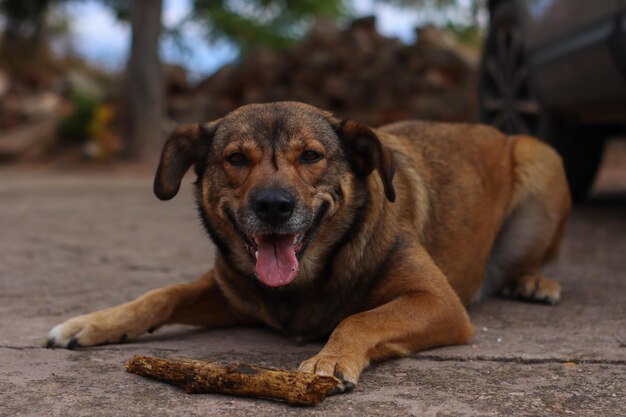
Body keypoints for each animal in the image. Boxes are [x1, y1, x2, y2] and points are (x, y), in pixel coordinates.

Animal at [46, 101, 568, 390]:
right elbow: (160, 295)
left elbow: (362, 318)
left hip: (541, 158)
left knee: (536, 256)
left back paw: (534, 281)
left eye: (312, 156)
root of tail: (495, 129)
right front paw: (93, 323)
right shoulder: (233, 294)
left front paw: (330, 358)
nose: (273, 205)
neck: (308, 279)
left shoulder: (439, 303)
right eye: (236, 159)